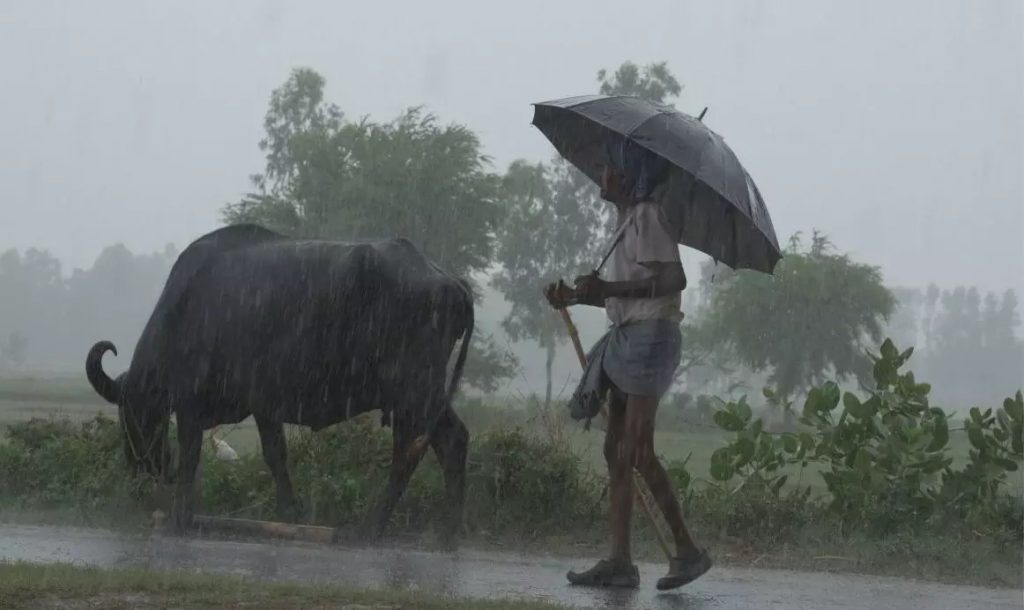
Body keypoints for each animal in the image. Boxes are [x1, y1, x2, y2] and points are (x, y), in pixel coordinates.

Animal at [86, 226, 473, 540]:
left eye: (129, 419)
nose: (148, 470)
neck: (186, 312)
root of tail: (448, 282)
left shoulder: (190, 406)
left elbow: (191, 458)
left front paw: (181, 518)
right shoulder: (264, 407)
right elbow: (276, 456)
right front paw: (290, 514)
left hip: (412, 390)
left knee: (408, 451)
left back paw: (371, 529)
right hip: (428, 394)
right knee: (451, 440)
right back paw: (449, 532)